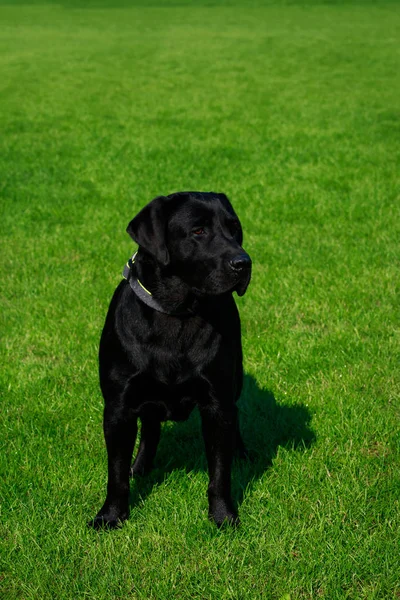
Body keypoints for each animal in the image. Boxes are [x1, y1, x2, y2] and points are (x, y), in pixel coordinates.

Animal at [92, 190, 252, 528]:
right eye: (198, 231)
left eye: (234, 229)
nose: (243, 263)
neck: (176, 313)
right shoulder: (118, 407)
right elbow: (116, 473)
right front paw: (110, 516)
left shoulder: (217, 405)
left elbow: (220, 472)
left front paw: (223, 516)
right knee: (150, 431)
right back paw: (140, 467)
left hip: (236, 380)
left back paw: (242, 454)